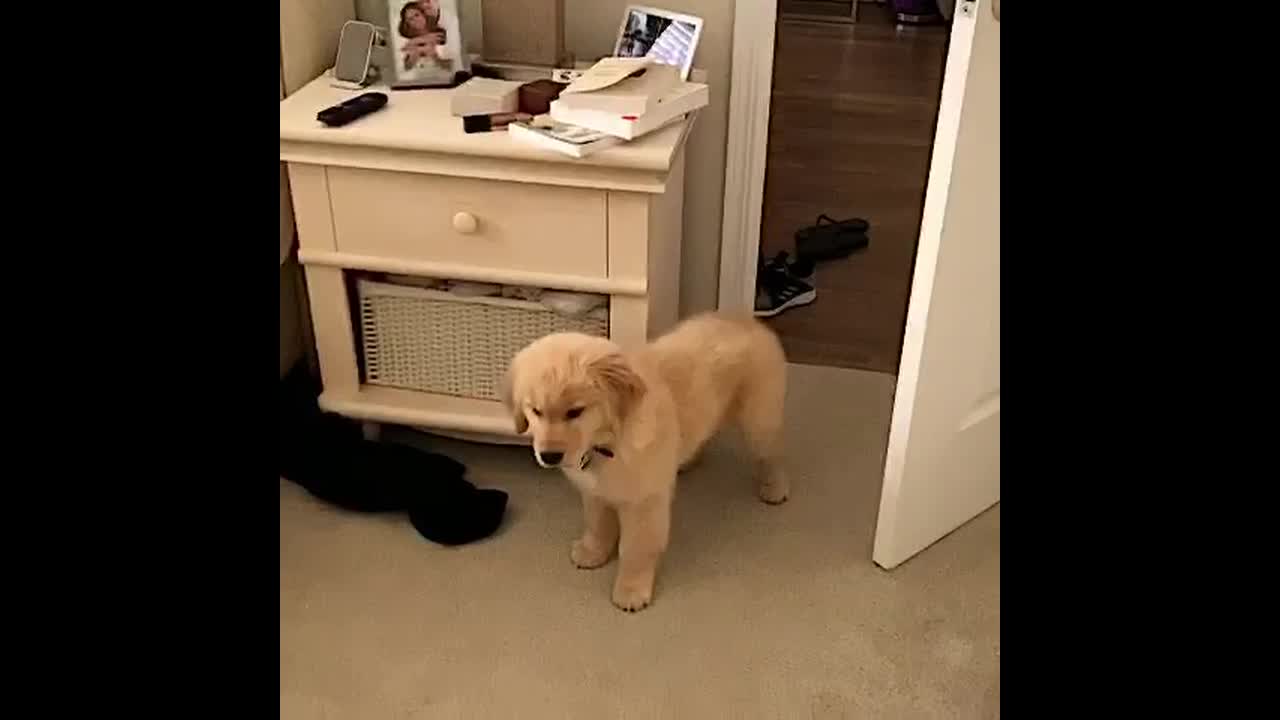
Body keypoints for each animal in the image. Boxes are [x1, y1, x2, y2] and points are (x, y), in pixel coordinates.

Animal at [501, 311, 788, 607]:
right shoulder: (595, 493)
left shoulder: (644, 503)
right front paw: (593, 552)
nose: (549, 456)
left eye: (575, 412)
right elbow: (597, 525)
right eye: (535, 411)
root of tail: (742, 318)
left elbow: (636, 549)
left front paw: (631, 589)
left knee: (772, 454)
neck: (607, 442)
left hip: (759, 420)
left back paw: (774, 487)